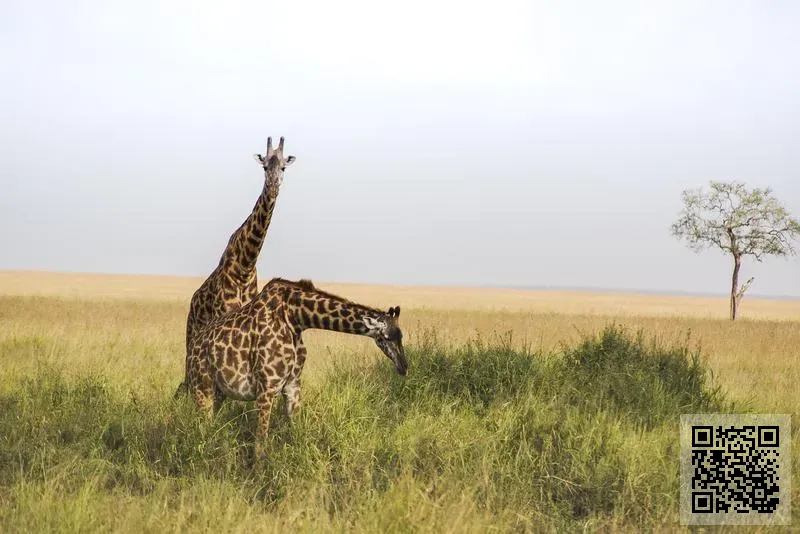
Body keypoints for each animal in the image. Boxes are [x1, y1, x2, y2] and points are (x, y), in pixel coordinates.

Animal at [175, 137, 296, 398]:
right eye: (264, 167)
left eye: (283, 167)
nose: (273, 187)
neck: (245, 263)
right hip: (192, 334)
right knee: (188, 377)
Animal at [184, 276, 404, 456]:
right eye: (386, 337)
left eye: (401, 336)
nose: (404, 366)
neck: (296, 318)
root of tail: (192, 347)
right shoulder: (267, 386)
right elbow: (260, 443)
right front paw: (260, 476)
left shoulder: (292, 385)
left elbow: (297, 434)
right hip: (201, 387)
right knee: (201, 430)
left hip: (218, 392)